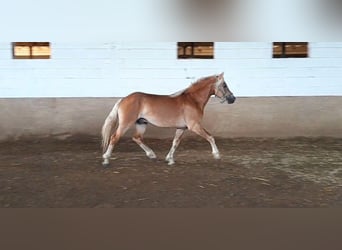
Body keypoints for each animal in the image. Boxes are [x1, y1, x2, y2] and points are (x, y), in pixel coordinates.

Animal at [101, 72, 235, 166]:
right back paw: (106, 159)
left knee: (137, 138)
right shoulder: (194, 126)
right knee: (114, 138)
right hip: (125, 124)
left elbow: (175, 143)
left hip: (141, 123)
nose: (232, 98)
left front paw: (170, 159)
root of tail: (123, 99)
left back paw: (151, 154)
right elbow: (210, 137)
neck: (193, 100)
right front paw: (217, 155)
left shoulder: (182, 128)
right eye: (224, 85)